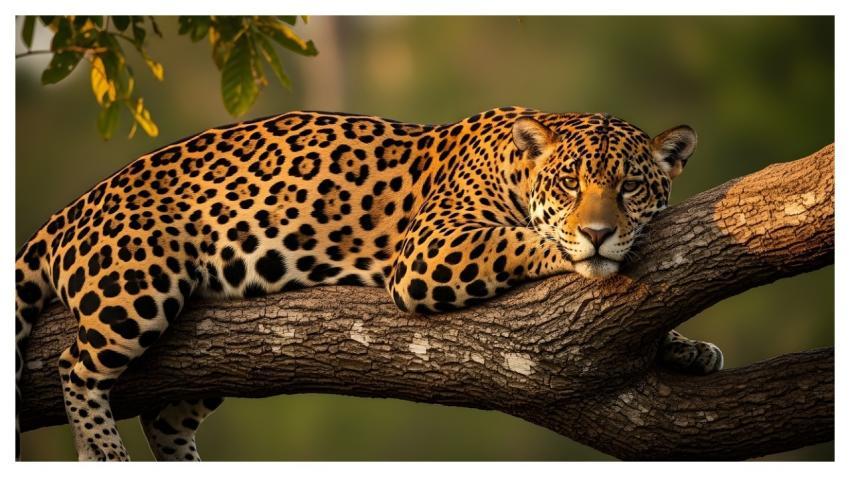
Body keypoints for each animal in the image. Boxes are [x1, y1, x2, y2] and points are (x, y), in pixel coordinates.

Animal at [15, 106, 723, 461]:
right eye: (571, 184)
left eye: (629, 187)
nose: (601, 231)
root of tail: (66, 213)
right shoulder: (433, 248)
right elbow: (530, 240)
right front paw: (583, 251)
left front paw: (687, 348)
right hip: (140, 283)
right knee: (76, 364)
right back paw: (101, 451)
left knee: (164, 420)